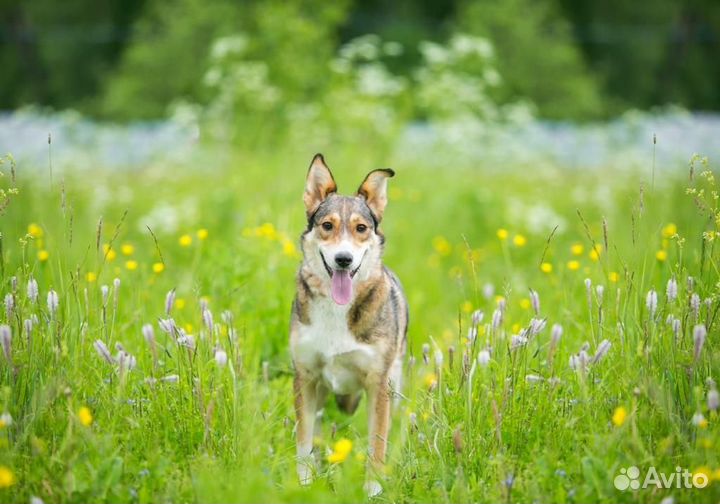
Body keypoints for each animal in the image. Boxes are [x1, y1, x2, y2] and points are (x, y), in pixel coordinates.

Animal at [290, 155, 408, 496]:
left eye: (361, 228)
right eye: (327, 225)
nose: (343, 259)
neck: (337, 310)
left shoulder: (378, 384)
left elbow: (377, 443)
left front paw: (373, 490)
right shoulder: (305, 377)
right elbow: (304, 441)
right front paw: (304, 484)